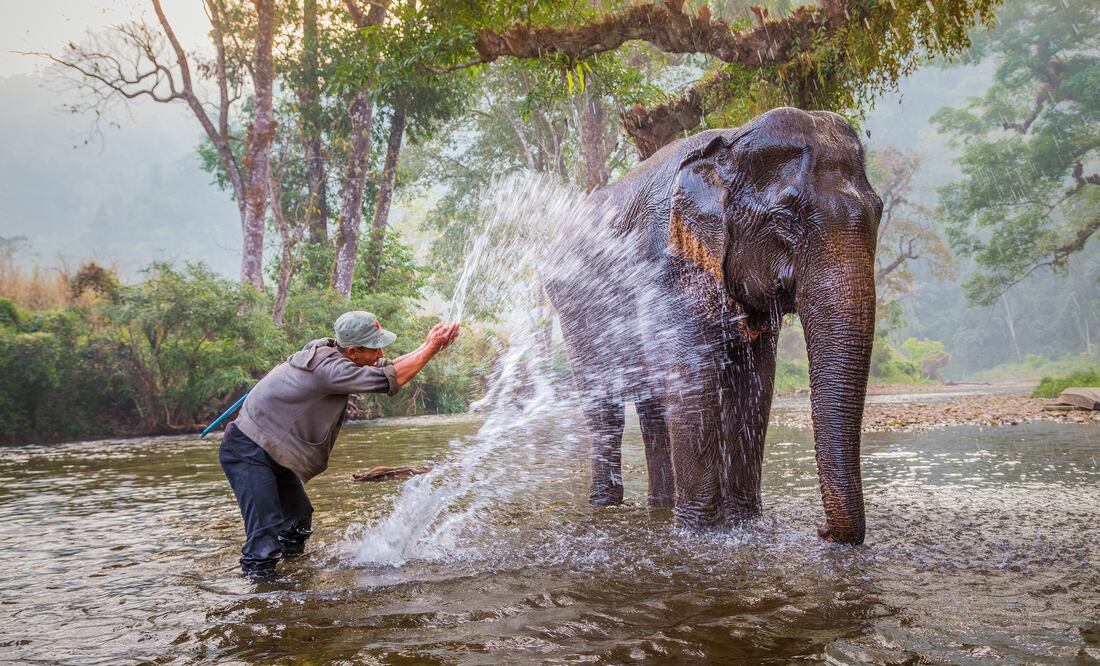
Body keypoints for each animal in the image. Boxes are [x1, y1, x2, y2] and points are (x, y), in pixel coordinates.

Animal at [546, 107, 881, 545]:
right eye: (786, 219)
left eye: (880, 212)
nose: (822, 529)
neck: (730, 141)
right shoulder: (665, 262)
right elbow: (694, 376)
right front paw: (700, 534)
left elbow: (755, 382)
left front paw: (744, 524)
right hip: (575, 310)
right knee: (605, 404)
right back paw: (606, 506)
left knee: (654, 405)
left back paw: (660, 506)